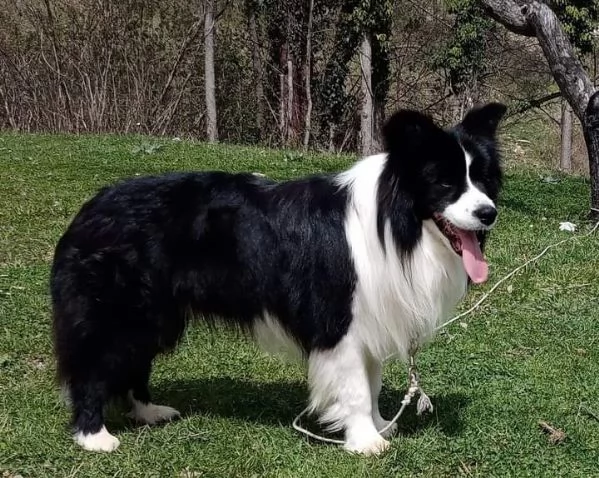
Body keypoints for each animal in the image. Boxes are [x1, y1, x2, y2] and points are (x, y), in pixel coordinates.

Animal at [51, 103, 506, 456]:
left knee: (134, 362)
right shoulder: (338, 322)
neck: (395, 223)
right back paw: (94, 435)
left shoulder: (369, 317)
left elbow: (372, 382)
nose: (488, 213)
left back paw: (148, 411)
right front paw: (365, 441)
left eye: (483, 179)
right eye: (445, 182)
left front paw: (378, 424)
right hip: (120, 311)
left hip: (155, 315)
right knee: (94, 367)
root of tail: (89, 210)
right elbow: (357, 387)